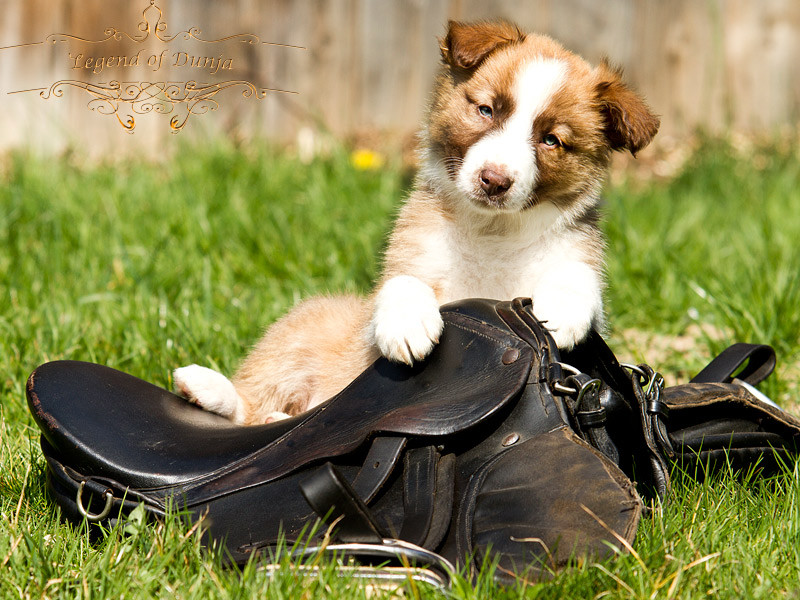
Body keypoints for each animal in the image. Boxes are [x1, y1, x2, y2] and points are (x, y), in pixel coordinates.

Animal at [178, 18, 660, 422]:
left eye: (551, 140)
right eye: (486, 110)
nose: (494, 181)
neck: (493, 233)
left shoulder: (577, 259)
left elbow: (580, 278)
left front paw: (562, 305)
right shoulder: (409, 259)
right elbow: (402, 282)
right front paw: (408, 324)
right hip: (305, 325)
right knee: (251, 404)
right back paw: (208, 388)